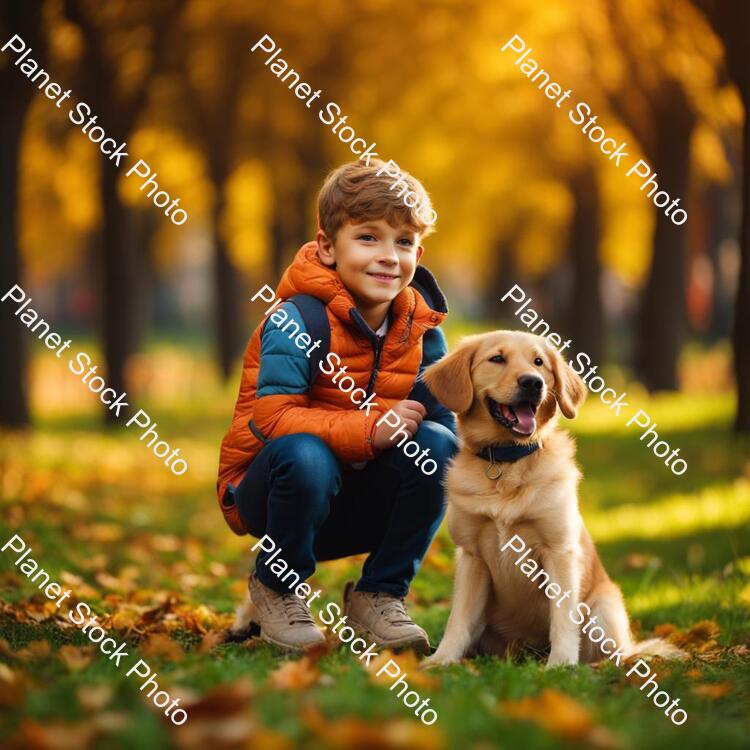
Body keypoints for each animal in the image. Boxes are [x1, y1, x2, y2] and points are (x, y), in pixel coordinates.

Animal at [424, 332, 680, 668]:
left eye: (539, 362)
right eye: (497, 359)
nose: (532, 383)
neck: (508, 459)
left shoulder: (558, 552)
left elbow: (563, 618)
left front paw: (560, 665)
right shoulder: (471, 556)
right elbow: (459, 618)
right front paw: (441, 659)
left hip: (605, 609)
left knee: (617, 655)